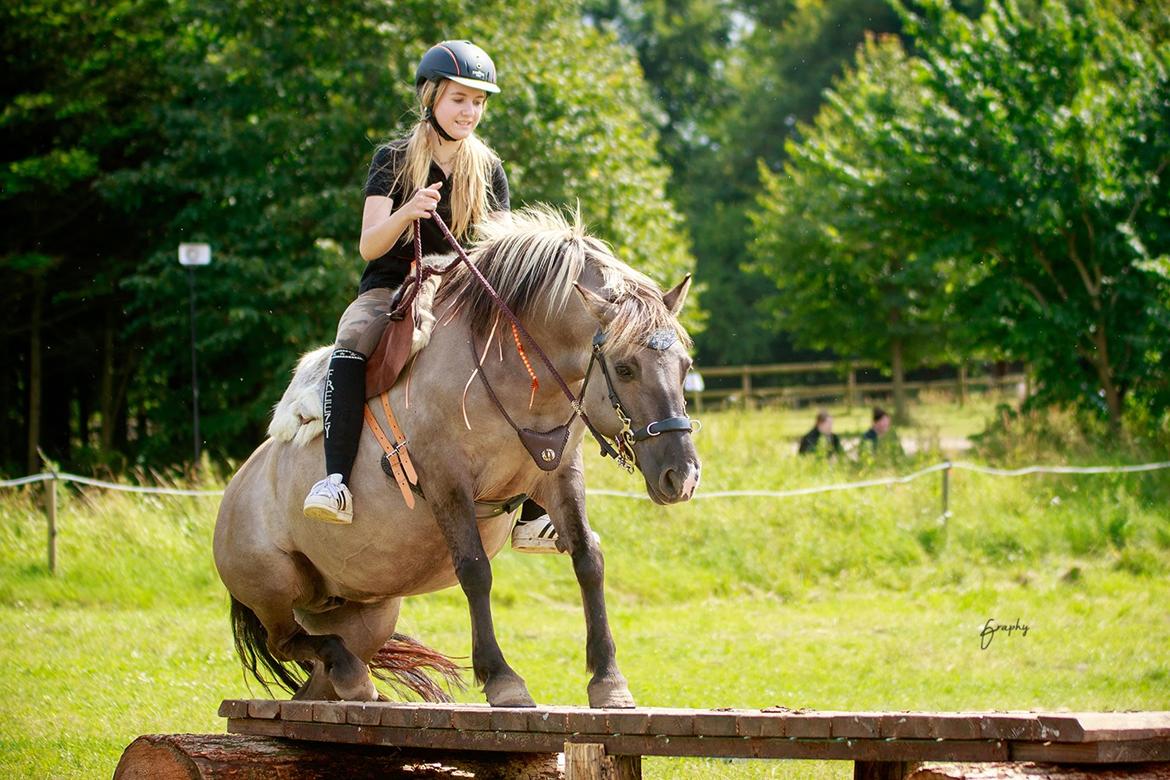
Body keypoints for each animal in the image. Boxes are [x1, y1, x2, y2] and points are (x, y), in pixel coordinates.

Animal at [213, 205, 701, 708]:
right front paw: (502, 678)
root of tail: (233, 493)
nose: (681, 476)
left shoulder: (561, 473)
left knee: (317, 674)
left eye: (685, 366)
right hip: (274, 585)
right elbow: (475, 570)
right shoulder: (446, 479)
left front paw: (608, 680)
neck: (517, 373)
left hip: (368, 616)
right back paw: (350, 669)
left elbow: (589, 558)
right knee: (285, 640)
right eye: (624, 368)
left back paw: (352, 681)